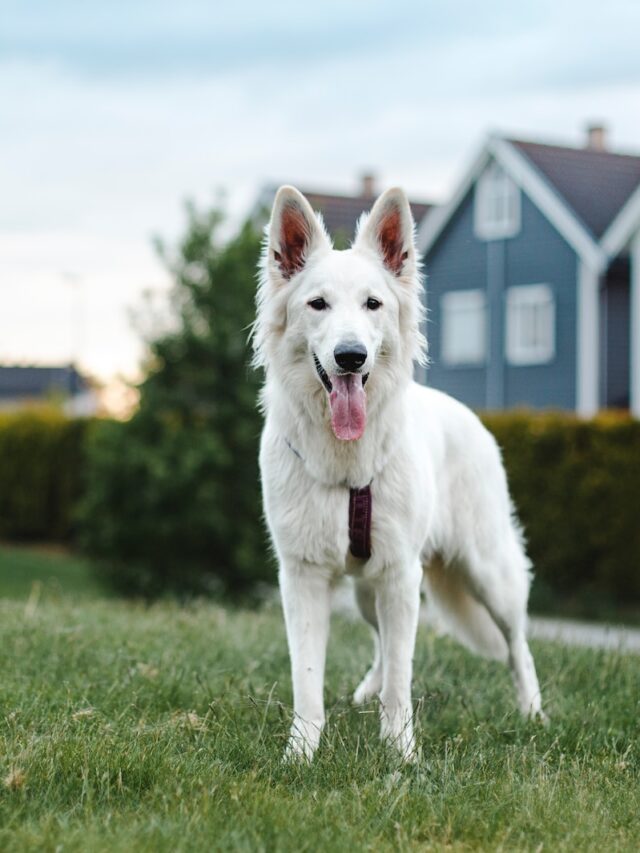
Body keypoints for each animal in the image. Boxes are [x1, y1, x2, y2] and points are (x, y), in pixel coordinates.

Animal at [255, 183, 544, 764]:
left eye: (373, 304)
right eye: (317, 304)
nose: (350, 356)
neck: (346, 461)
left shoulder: (399, 575)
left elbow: (402, 680)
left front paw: (400, 754)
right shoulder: (303, 577)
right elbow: (307, 675)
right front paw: (303, 751)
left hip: (488, 574)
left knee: (516, 643)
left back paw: (532, 711)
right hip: (368, 593)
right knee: (382, 643)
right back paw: (364, 690)